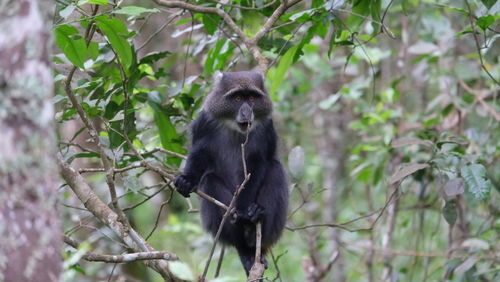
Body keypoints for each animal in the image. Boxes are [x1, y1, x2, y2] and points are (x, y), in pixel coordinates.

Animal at [174, 70, 290, 276]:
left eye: (251, 98)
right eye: (237, 98)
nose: (246, 112)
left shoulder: (265, 129)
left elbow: (257, 165)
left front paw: (246, 210)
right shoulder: (205, 123)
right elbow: (200, 153)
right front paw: (187, 179)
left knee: (275, 169)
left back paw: (253, 224)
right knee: (209, 180)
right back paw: (244, 244)